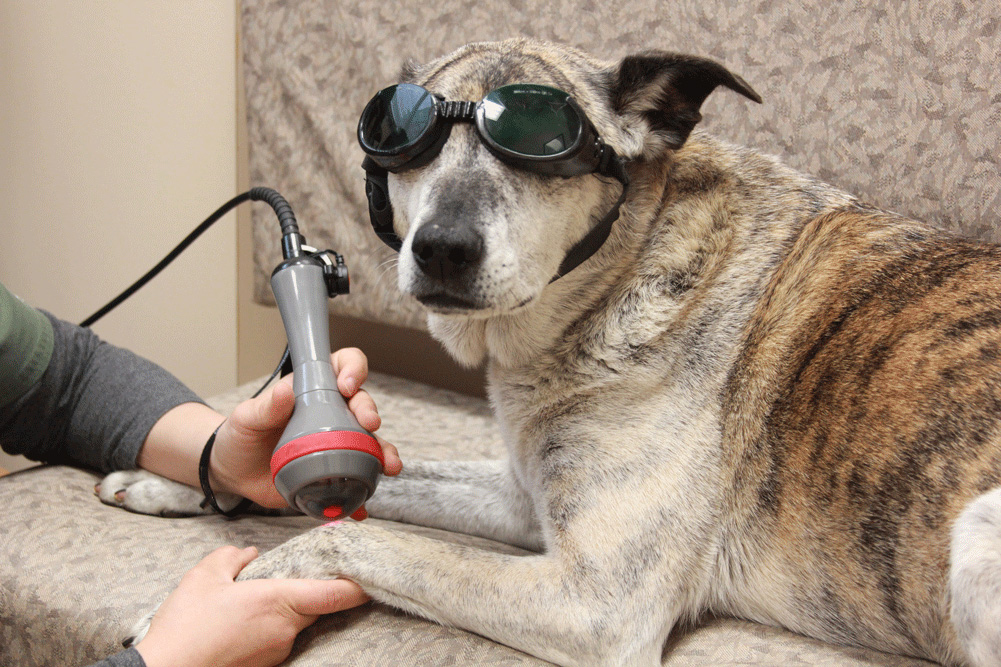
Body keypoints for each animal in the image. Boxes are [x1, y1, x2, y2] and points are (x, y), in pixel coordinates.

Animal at [103, 39, 1001, 660]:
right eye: (403, 136)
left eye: (544, 139)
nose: (441, 249)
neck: (613, 285)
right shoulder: (524, 497)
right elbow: (379, 479)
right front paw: (177, 479)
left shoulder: (593, 600)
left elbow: (351, 535)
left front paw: (205, 606)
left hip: (975, 534)